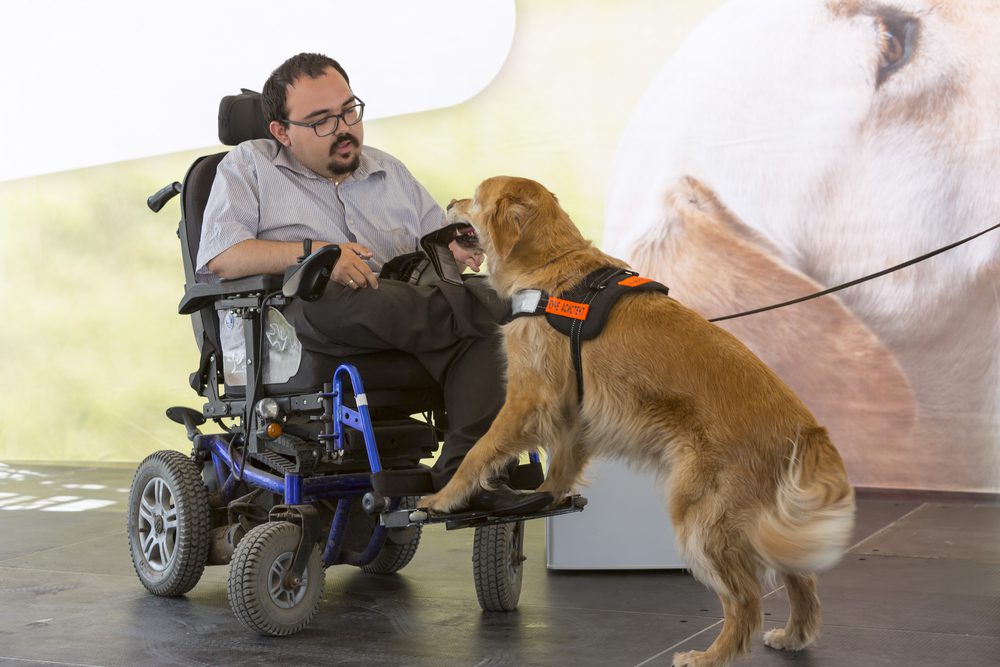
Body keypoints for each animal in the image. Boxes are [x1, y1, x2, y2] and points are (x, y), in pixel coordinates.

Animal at [418, 177, 856, 667]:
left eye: (475, 197)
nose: (449, 202)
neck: (552, 267)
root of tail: (808, 428)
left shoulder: (529, 398)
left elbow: (477, 453)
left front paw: (441, 499)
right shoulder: (574, 410)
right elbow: (560, 465)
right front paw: (545, 497)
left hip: (701, 517)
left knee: (745, 602)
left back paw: (708, 657)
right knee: (801, 579)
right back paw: (794, 635)